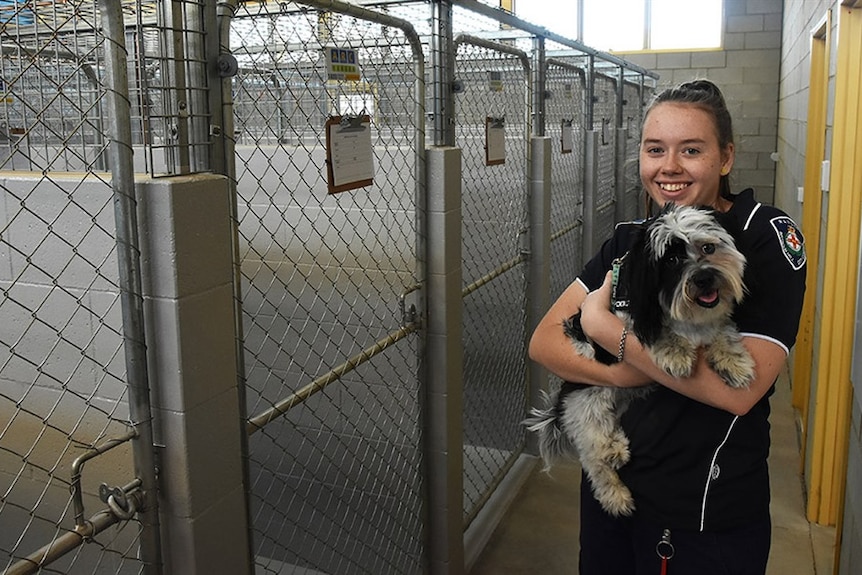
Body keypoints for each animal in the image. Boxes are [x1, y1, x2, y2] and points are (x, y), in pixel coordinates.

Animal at [524, 204, 752, 516]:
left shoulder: (711, 321)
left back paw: (617, 447)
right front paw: (674, 351)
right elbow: (650, 329)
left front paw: (733, 361)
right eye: (671, 259)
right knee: (592, 454)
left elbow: (721, 330)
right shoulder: (624, 315)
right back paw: (614, 489)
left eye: (708, 247)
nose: (704, 278)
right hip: (586, 401)